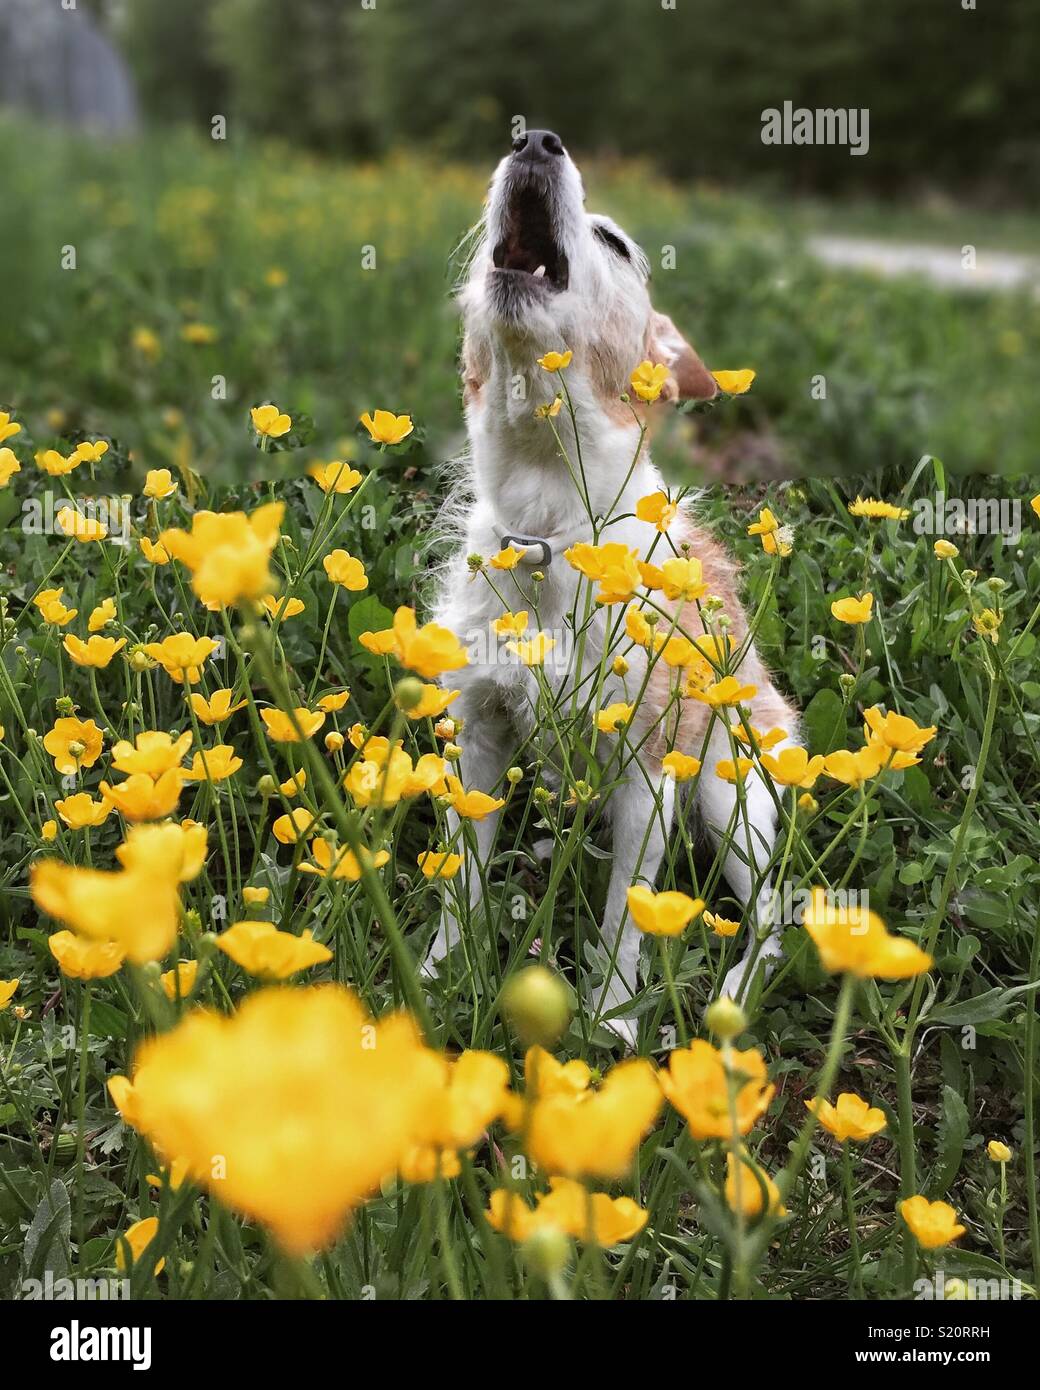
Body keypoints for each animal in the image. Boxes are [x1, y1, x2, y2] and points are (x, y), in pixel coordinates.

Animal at [419, 130, 795, 1045]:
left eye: (616, 243)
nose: (534, 139)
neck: (550, 529)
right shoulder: (479, 736)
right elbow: (461, 875)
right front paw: (443, 971)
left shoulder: (647, 778)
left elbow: (630, 905)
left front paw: (612, 1017)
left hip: (733, 798)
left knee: (774, 913)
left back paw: (735, 993)